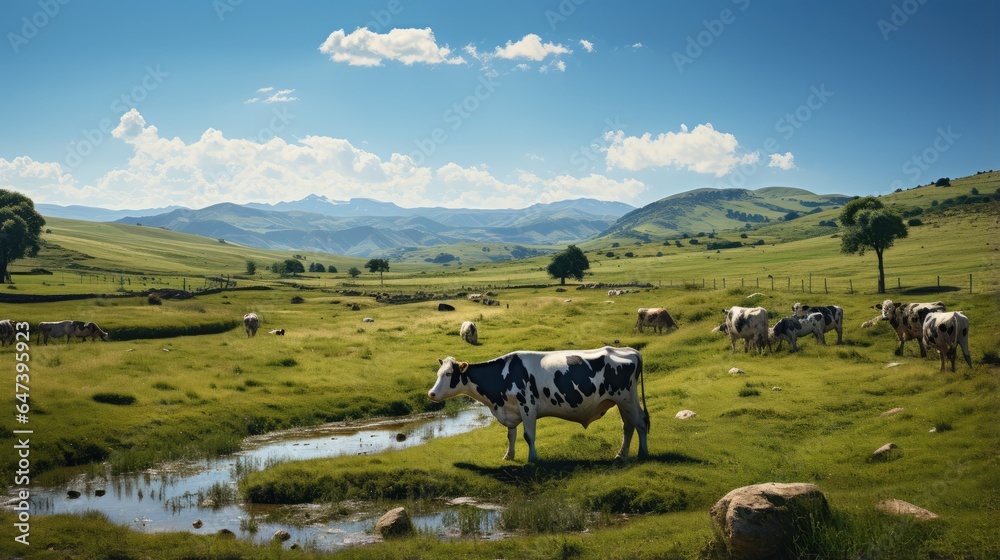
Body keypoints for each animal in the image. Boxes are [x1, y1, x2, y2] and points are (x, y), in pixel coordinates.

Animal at [428, 346, 649, 462]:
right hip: (622, 401)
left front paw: (532, 458)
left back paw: (643, 453)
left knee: (640, 423)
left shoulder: (527, 407)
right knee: (628, 426)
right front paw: (508, 456)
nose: (431, 393)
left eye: (449, 374)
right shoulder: (511, 410)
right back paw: (621, 454)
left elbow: (528, 436)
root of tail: (629, 350)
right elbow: (511, 436)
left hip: (626, 398)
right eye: (438, 373)